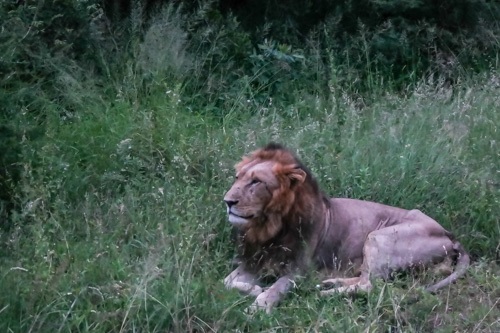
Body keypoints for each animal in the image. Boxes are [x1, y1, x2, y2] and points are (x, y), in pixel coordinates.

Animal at [223, 142, 468, 312]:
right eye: (237, 178)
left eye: (256, 182)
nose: (227, 201)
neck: (267, 228)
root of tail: (450, 235)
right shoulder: (253, 262)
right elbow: (227, 282)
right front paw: (255, 289)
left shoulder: (298, 271)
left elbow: (276, 288)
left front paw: (258, 306)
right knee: (365, 278)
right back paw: (328, 284)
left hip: (380, 236)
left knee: (370, 285)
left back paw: (323, 294)